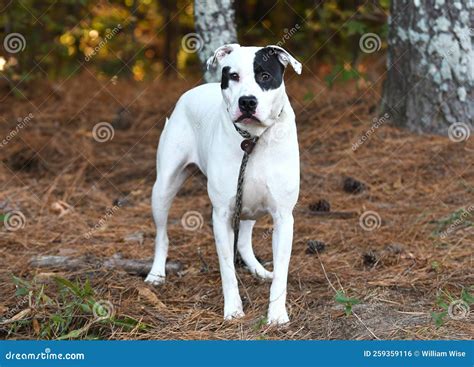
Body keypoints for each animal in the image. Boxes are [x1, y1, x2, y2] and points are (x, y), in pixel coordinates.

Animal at [145, 43, 300, 324]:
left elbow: (281, 272)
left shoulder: (283, 217)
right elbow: (227, 269)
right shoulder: (222, 215)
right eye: (234, 76)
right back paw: (156, 274)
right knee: (162, 235)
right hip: (163, 188)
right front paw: (233, 310)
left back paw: (259, 271)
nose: (247, 101)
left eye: (265, 76)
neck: (253, 140)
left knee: (244, 241)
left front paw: (277, 315)